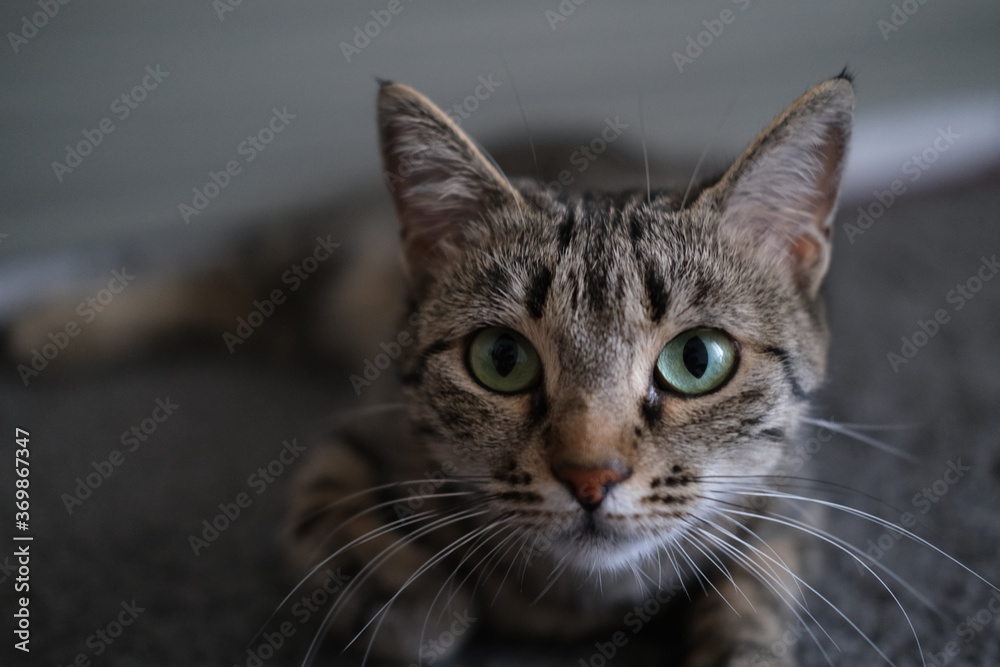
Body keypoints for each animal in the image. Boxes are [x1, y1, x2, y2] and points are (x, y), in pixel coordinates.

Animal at [284, 73, 860, 667]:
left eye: (697, 358)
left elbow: (759, 587)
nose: (590, 477)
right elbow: (333, 520)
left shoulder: (793, 491)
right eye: (502, 358)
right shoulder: (353, 437)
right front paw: (416, 602)